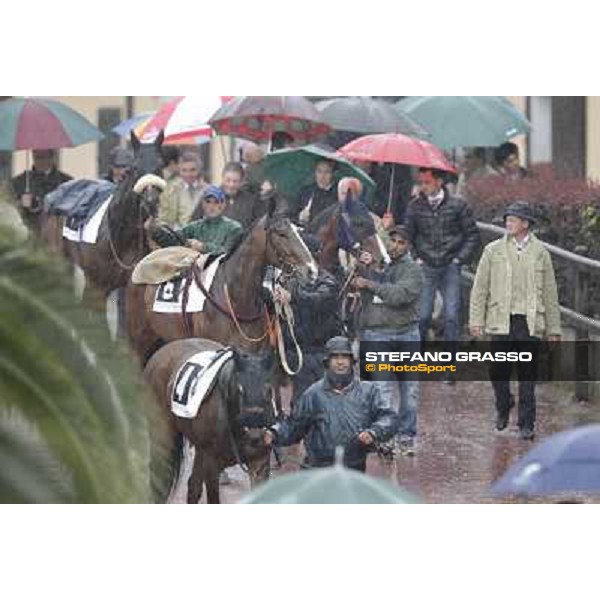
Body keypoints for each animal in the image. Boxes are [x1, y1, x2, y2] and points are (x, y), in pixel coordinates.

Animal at [41, 132, 166, 314]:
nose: (150, 202)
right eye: (135, 167)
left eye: (160, 165)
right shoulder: (95, 285)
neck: (118, 234)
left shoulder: (133, 288)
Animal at [144, 340, 278, 504]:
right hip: (163, 437)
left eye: (269, 389)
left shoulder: (259, 463)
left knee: (193, 486)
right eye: (240, 389)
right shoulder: (212, 466)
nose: (256, 435)